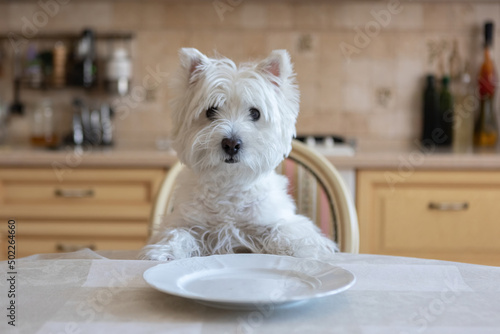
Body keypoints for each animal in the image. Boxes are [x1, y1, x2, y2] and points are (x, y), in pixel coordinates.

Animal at [139, 49, 338, 260]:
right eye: (211, 111)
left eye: (255, 113)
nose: (231, 144)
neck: (230, 184)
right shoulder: (184, 221)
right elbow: (177, 233)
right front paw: (165, 252)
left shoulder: (277, 219)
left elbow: (287, 230)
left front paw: (301, 248)